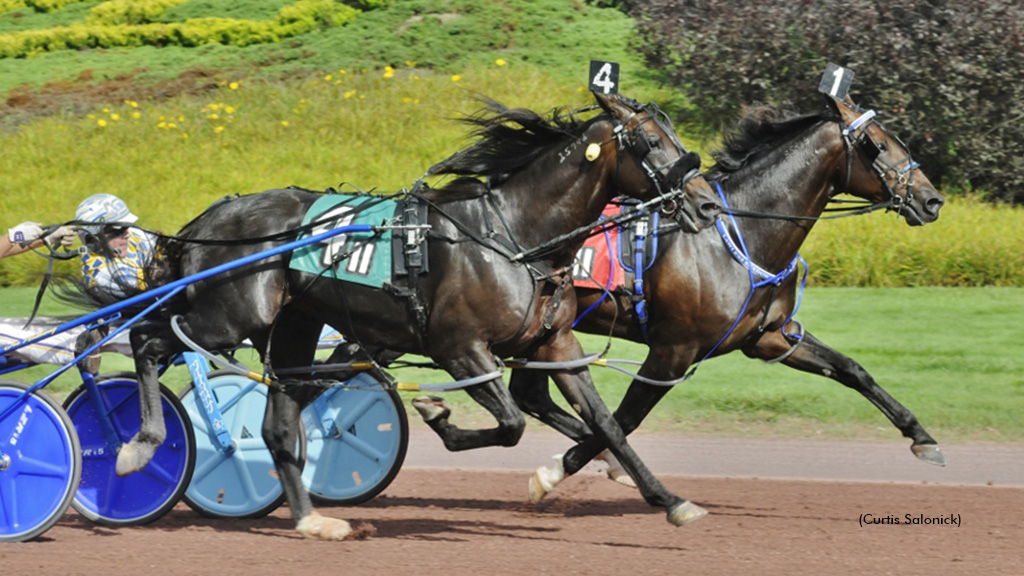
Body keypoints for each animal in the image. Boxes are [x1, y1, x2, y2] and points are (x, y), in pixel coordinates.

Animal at [112, 91, 720, 537]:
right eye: (650, 140)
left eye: (677, 139)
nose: (707, 203)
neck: (513, 236)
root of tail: (209, 218)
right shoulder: (461, 348)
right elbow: (511, 425)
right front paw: (439, 416)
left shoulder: (555, 345)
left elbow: (609, 425)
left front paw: (669, 500)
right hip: (233, 315)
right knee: (148, 341)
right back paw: (137, 446)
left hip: (292, 328)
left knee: (277, 422)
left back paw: (312, 520)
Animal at [507, 93, 946, 498]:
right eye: (879, 145)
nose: (932, 200)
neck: (737, 236)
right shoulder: (673, 350)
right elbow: (625, 419)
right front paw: (555, 473)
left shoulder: (769, 336)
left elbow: (852, 369)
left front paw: (922, 438)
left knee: (530, 396)